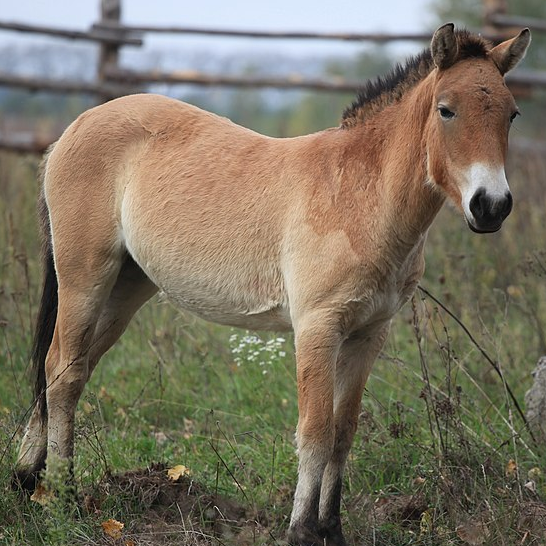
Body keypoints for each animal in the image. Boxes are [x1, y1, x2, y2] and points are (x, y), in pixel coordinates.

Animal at [13, 24, 528, 544]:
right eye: (446, 109)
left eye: (512, 114)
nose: (491, 206)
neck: (357, 195)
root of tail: (73, 129)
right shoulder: (318, 328)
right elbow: (316, 433)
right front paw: (300, 531)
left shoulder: (368, 334)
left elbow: (344, 433)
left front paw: (332, 529)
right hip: (85, 277)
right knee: (62, 371)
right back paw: (63, 497)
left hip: (126, 288)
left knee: (71, 369)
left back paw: (26, 480)